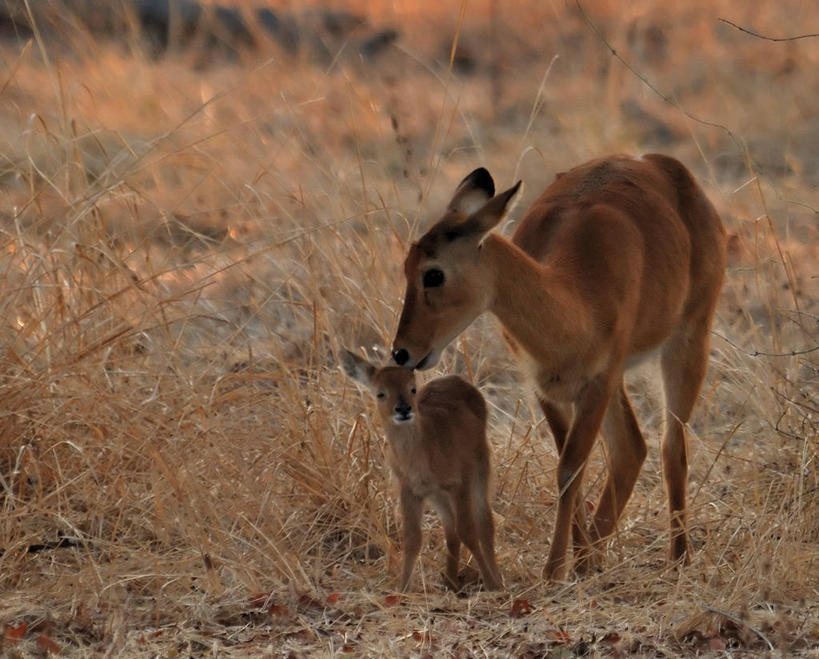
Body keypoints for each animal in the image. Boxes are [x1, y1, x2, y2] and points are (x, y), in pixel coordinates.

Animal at [338, 350, 500, 592]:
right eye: (380, 393)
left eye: (412, 388)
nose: (404, 409)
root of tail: (459, 380)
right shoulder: (410, 490)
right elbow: (412, 539)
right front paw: (402, 588)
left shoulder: (459, 481)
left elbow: (468, 531)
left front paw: (490, 582)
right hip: (437, 494)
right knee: (451, 529)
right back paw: (451, 581)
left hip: (480, 464)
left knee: (484, 521)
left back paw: (495, 578)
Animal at [394, 152, 728, 580]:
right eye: (406, 266)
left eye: (434, 273)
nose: (402, 352)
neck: (576, 299)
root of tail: (659, 162)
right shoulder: (546, 387)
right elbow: (570, 470)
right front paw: (577, 562)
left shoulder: (598, 381)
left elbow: (571, 469)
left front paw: (554, 570)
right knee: (631, 449)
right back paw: (595, 557)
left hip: (688, 340)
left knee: (672, 447)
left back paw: (679, 558)